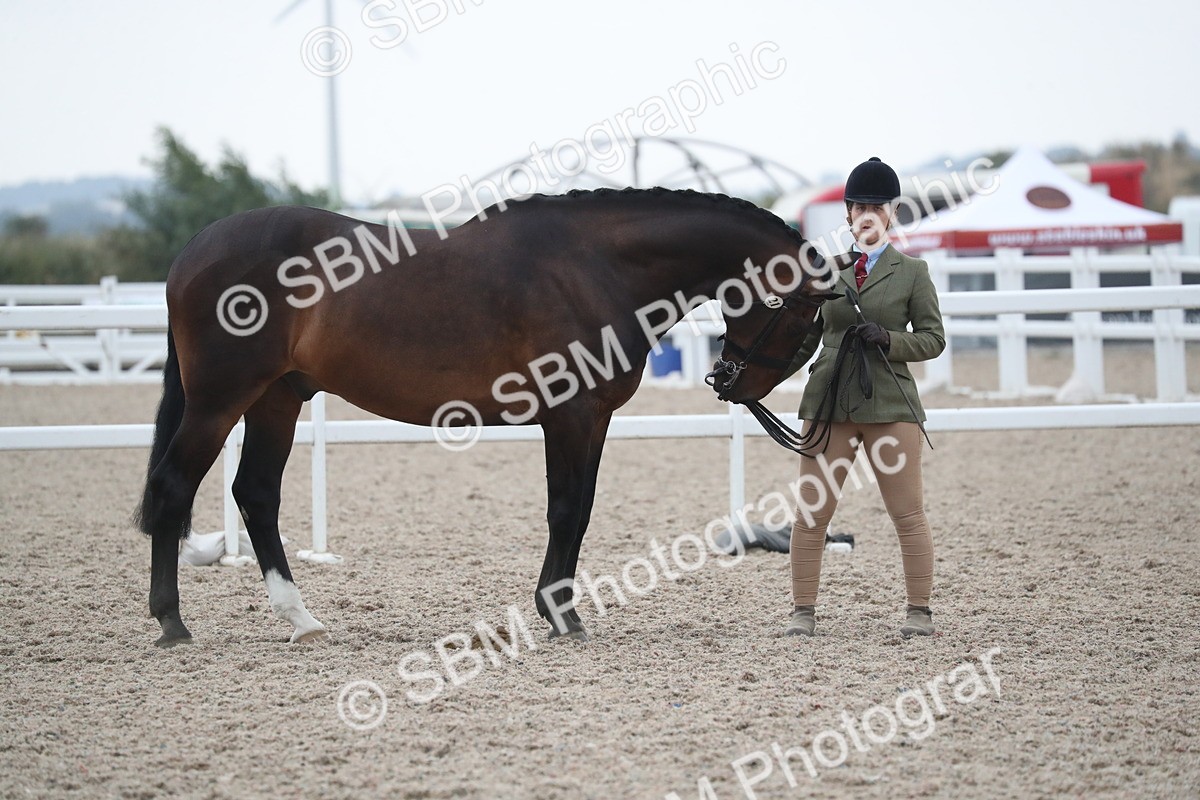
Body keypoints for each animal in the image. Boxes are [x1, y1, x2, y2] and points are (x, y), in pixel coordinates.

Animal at [136, 187, 835, 647]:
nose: (730, 380)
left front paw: (559, 609)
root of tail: (192, 253)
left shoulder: (591, 420)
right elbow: (566, 510)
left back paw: (300, 619)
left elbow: (578, 510)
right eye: (802, 312)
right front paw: (561, 614)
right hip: (220, 399)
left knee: (255, 492)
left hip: (277, 398)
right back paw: (172, 623)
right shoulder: (570, 416)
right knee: (174, 487)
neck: (595, 267)